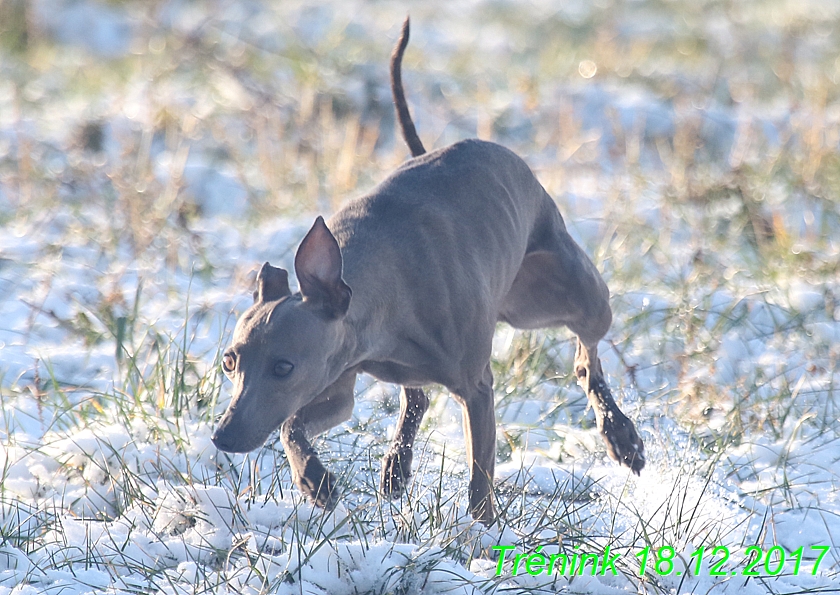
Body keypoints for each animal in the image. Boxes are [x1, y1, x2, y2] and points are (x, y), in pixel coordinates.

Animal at [213, 17, 648, 528]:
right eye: (229, 362)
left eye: (283, 366)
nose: (222, 437)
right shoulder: (337, 379)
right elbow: (292, 424)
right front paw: (314, 480)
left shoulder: (477, 389)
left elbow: (481, 476)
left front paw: (482, 533)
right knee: (415, 397)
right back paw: (395, 467)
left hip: (568, 294)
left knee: (587, 355)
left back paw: (621, 435)